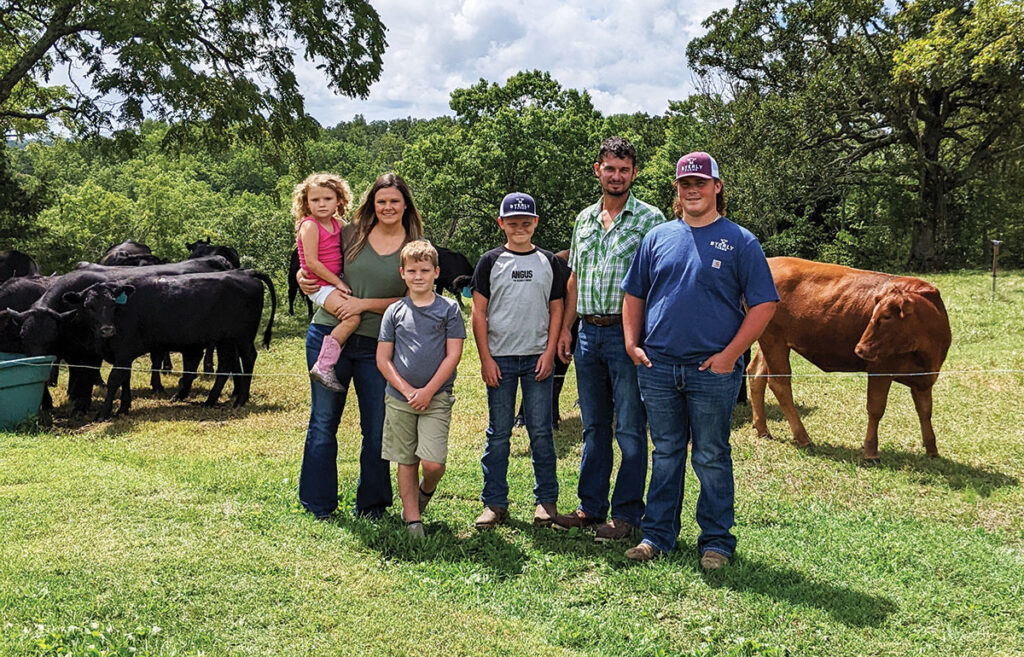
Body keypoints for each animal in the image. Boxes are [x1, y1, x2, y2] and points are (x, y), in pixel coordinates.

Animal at [66, 268, 278, 417]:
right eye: (88, 306)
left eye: (112, 304)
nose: (107, 329)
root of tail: (246, 273)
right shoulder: (122, 355)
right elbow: (125, 380)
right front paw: (123, 408)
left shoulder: (125, 351)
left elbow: (114, 380)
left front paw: (104, 413)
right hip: (226, 340)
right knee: (226, 365)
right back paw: (210, 400)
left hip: (242, 336)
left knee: (248, 358)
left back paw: (240, 400)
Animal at [745, 253, 950, 458]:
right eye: (874, 315)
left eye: (886, 317)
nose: (859, 349)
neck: (925, 352)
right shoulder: (879, 368)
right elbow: (876, 408)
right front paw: (871, 451)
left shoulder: (925, 378)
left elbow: (925, 411)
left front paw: (932, 450)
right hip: (774, 340)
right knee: (779, 383)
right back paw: (803, 437)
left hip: (770, 340)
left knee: (756, 373)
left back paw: (763, 429)